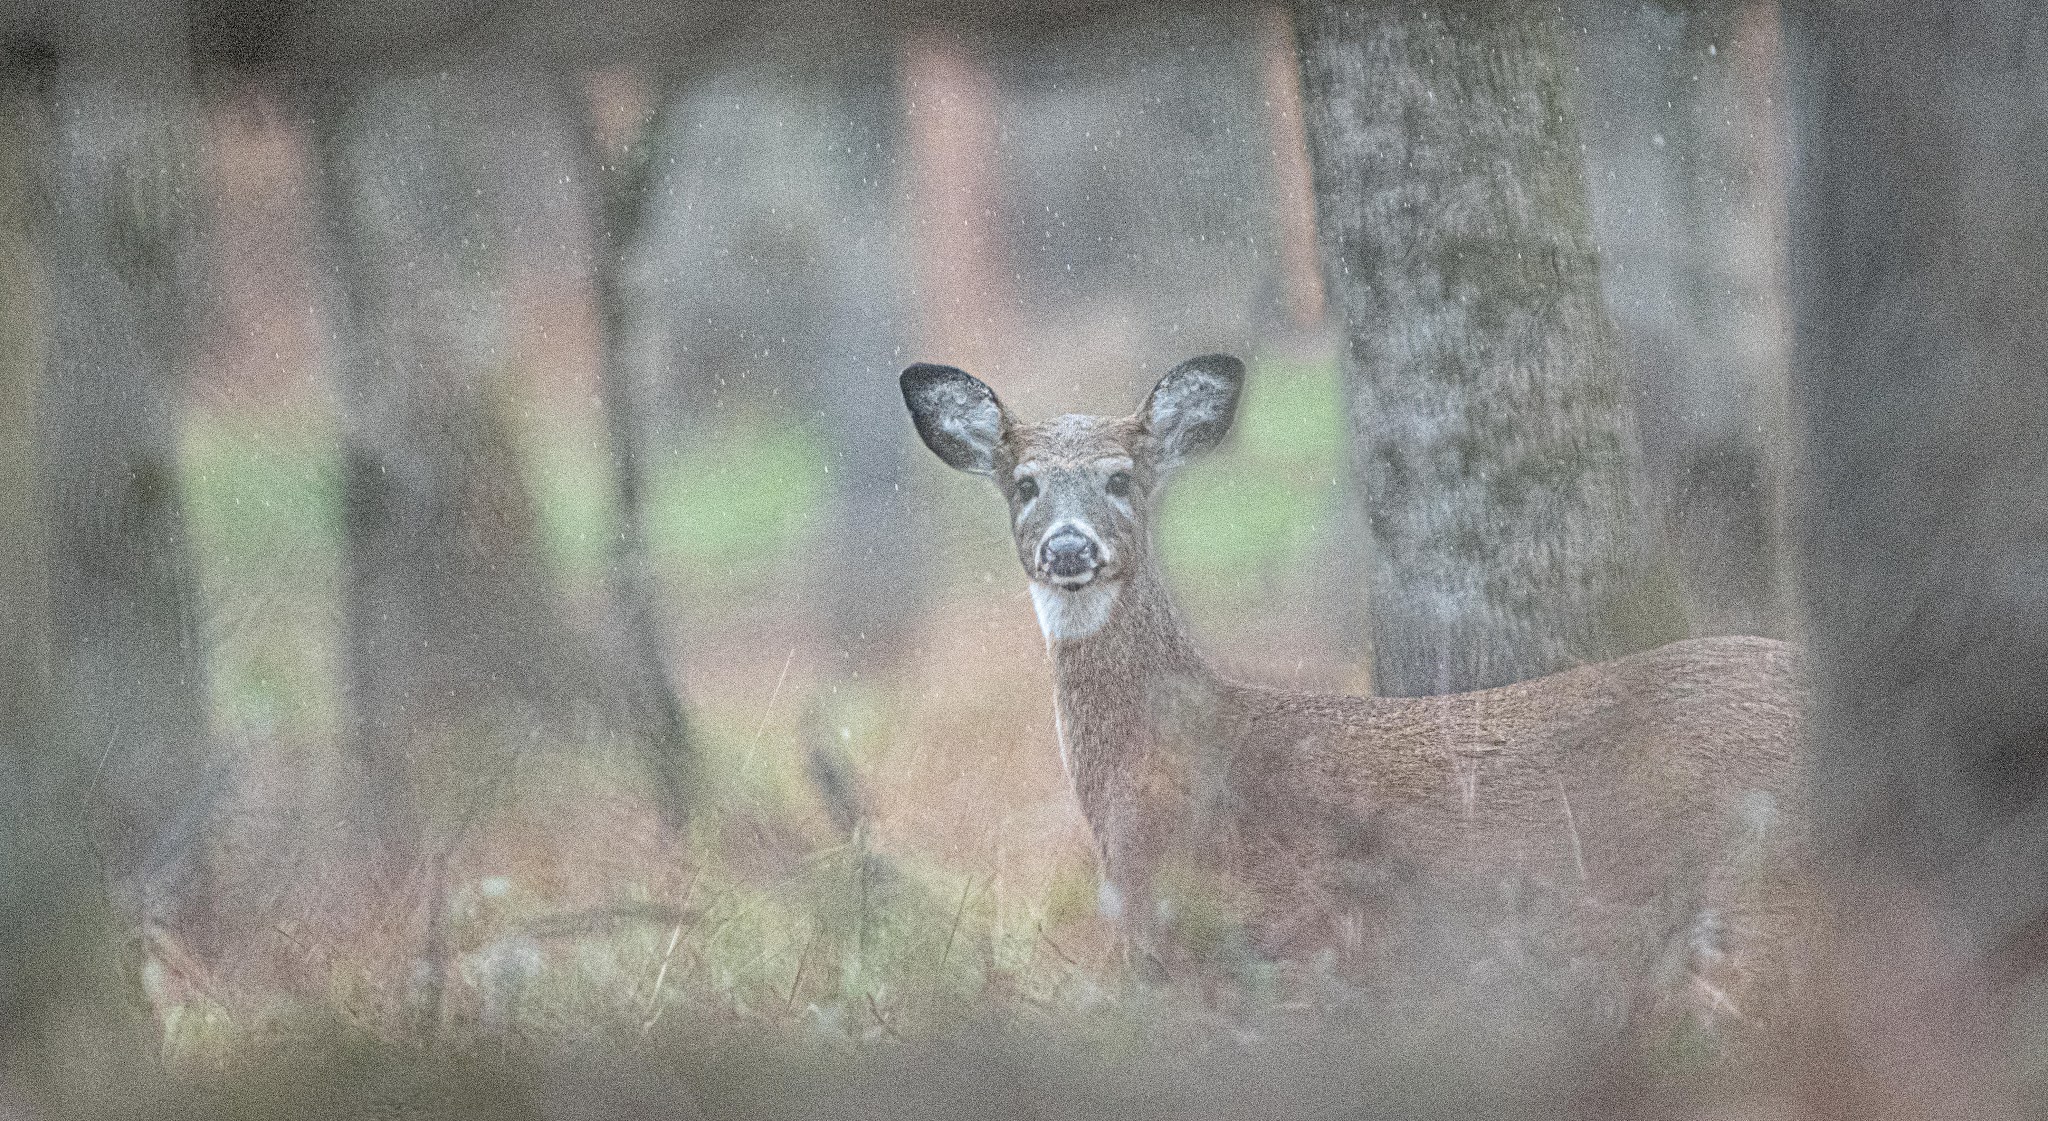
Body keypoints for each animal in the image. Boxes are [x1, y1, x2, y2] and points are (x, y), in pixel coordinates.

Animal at [900, 354, 1814, 1028]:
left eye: (1122, 478)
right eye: (1024, 483)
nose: (1068, 547)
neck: (1161, 768)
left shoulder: (1282, 941)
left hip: (1761, 890)